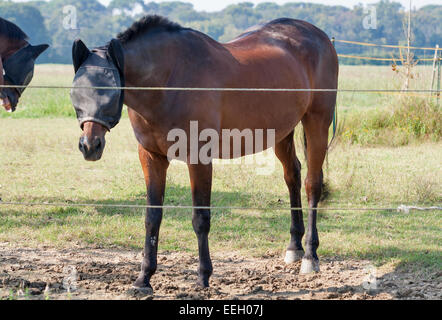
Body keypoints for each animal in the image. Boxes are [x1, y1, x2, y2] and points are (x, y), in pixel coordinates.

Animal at [71, 16, 338, 294]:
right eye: (76, 92)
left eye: (110, 92)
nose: (90, 146)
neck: (169, 78)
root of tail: (317, 35)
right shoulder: (151, 157)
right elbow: (152, 217)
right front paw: (143, 279)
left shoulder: (199, 158)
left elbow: (200, 218)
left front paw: (203, 276)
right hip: (281, 132)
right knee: (292, 176)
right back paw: (294, 246)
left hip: (317, 121)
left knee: (312, 184)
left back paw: (310, 256)